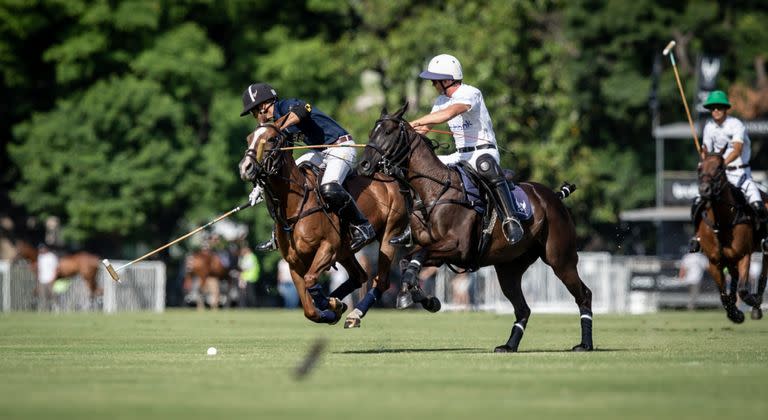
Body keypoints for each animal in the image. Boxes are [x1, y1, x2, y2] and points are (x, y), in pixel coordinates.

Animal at [240, 123, 420, 326]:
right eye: (249, 138)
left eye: (271, 139)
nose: (245, 167)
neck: (297, 204)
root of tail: (391, 178)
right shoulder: (294, 263)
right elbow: (309, 310)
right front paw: (333, 307)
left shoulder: (328, 247)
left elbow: (311, 281)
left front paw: (335, 304)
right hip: (346, 251)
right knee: (359, 276)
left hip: (390, 233)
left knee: (380, 280)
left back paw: (354, 313)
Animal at [356, 104, 592, 352]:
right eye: (372, 132)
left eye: (388, 132)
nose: (364, 165)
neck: (433, 191)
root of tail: (554, 197)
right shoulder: (438, 253)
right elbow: (407, 261)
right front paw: (423, 298)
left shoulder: (458, 247)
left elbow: (416, 258)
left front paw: (415, 297)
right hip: (509, 268)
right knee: (523, 308)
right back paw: (509, 345)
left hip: (560, 258)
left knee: (584, 294)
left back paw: (585, 344)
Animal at [692, 150, 764, 322]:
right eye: (699, 168)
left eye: (720, 167)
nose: (704, 190)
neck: (721, 222)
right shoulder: (714, 261)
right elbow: (724, 295)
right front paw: (735, 314)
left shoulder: (744, 255)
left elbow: (743, 290)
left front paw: (753, 302)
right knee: (734, 279)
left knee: (763, 274)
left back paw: (756, 306)